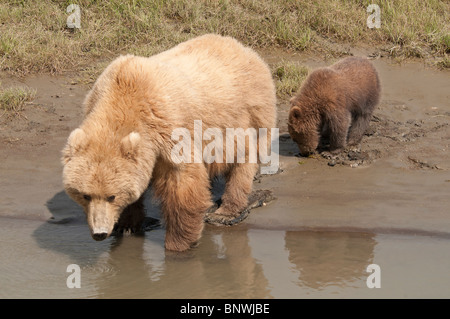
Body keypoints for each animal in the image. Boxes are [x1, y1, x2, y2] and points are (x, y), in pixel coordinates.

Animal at [61, 33, 276, 251]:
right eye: (85, 195)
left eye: (111, 196)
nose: (99, 233)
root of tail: (244, 48)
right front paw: (128, 224)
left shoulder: (168, 127)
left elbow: (182, 181)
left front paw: (179, 243)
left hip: (245, 116)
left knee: (243, 159)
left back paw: (226, 211)